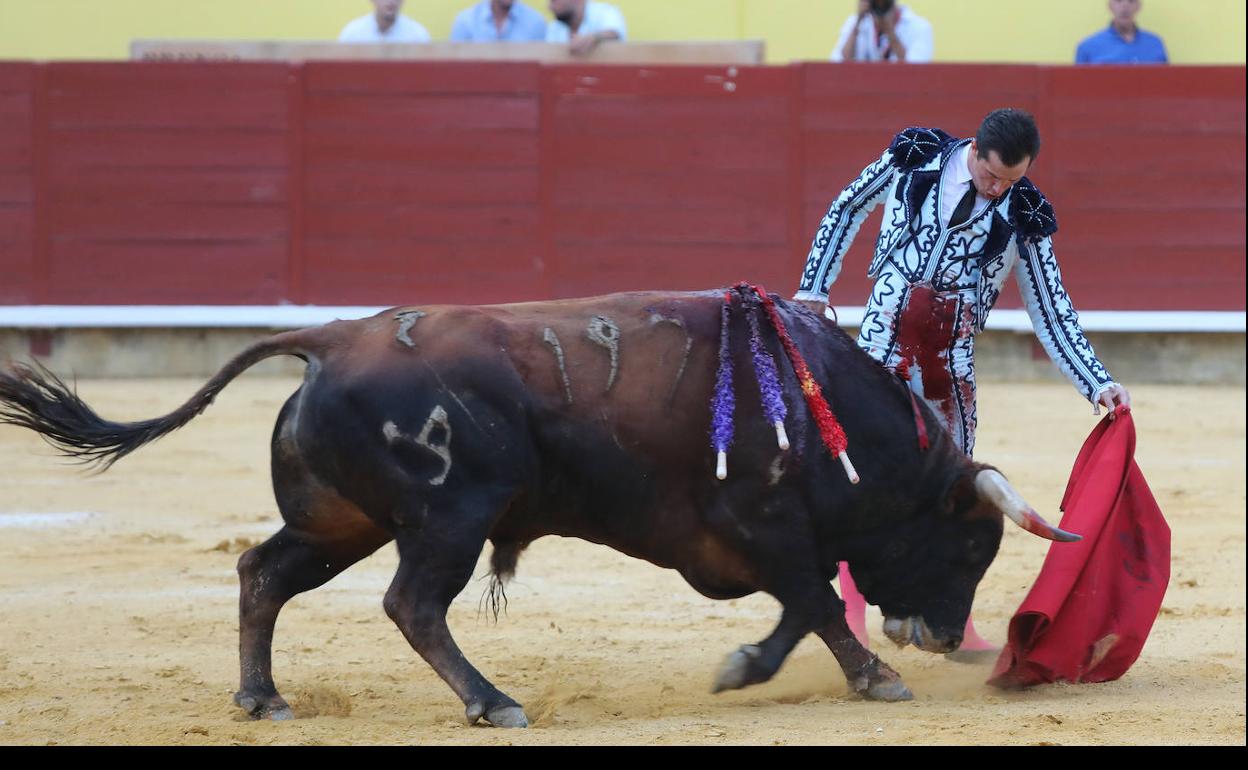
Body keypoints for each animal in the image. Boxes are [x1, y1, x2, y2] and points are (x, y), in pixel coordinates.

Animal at [0, 289, 1073, 728]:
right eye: (970, 546)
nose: (945, 636)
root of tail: (331, 338)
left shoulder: (753, 541)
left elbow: (801, 606)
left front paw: (787, 671)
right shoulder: (764, 524)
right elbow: (809, 599)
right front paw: (858, 678)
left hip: (342, 523)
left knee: (263, 572)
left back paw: (262, 698)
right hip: (447, 517)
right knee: (413, 605)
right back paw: (493, 701)